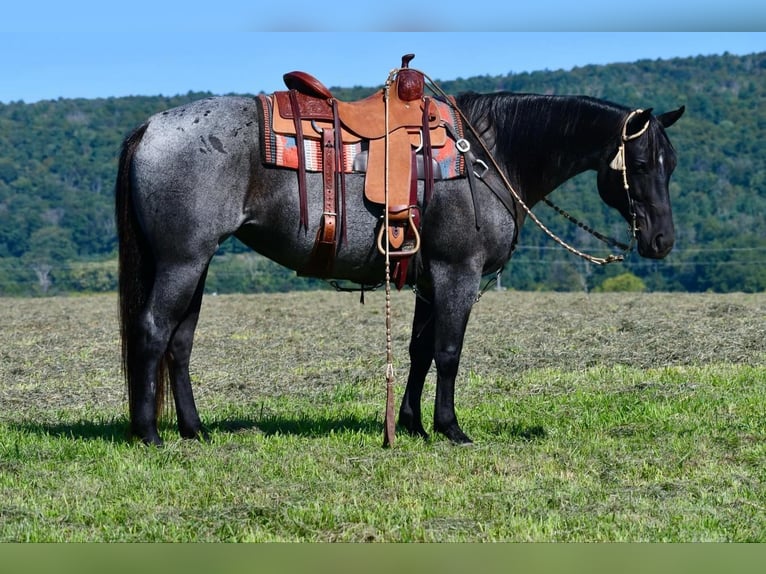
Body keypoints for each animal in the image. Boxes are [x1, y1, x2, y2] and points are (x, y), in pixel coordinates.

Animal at [117, 70, 688, 448]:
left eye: (672, 164)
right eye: (639, 163)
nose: (662, 240)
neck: (490, 154)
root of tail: (150, 128)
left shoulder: (429, 277)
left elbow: (420, 351)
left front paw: (411, 422)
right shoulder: (458, 272)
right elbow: (450, 352)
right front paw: (450, 428)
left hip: (195, 263)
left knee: (180, 343)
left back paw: (194, 430)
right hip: (183, 260)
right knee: (152, 331)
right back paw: (149, 435)